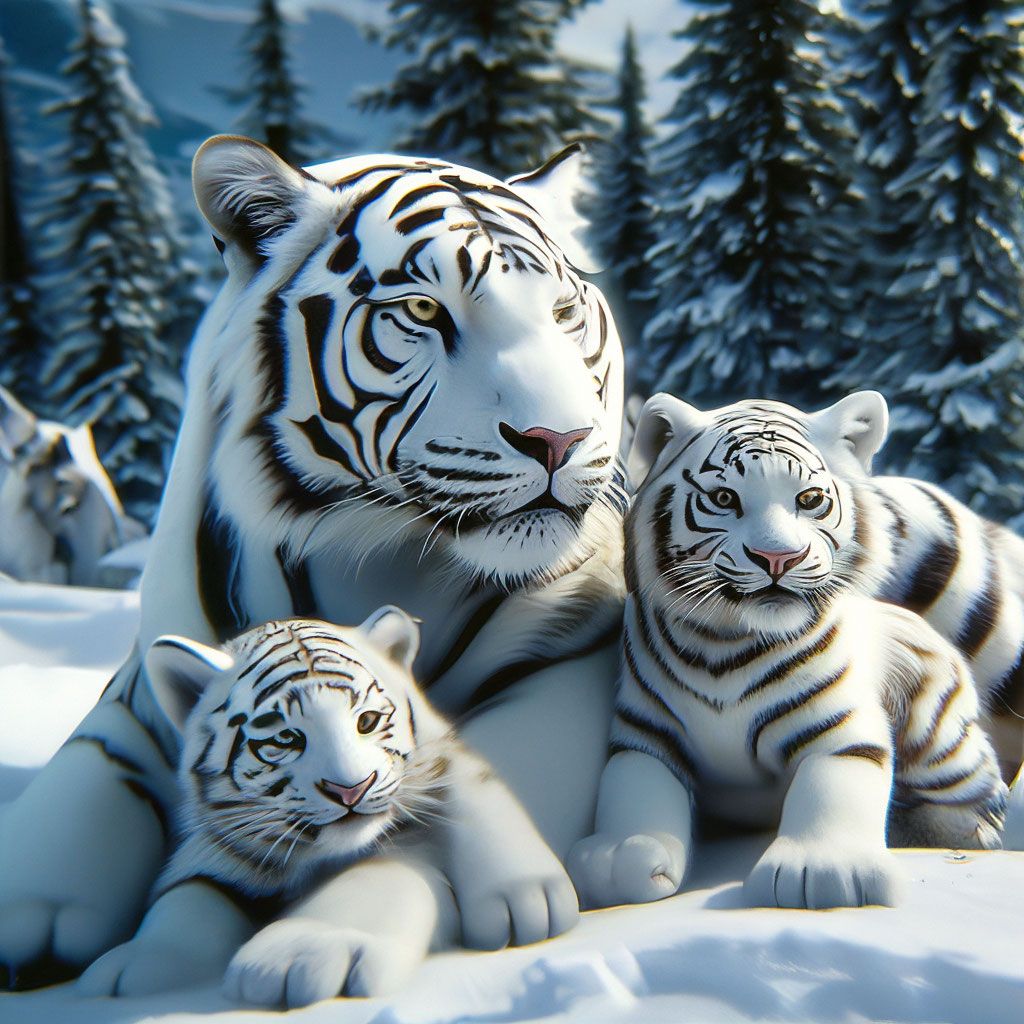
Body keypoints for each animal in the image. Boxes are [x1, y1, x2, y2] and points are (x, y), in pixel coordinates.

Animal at [78, 609, 575, 1001]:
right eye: (285, 739)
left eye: (367, 722)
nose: (351, 789)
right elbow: (191, 895)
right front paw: (135, 967)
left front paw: (300, 960)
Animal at [568, 391, 1013, 912]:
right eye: (724, 499)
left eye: (810, 500)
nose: (778, 558)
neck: (721, 646)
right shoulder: (646, 738)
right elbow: (633, 797)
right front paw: (619, 860)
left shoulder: (840, 731)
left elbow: (832, 789)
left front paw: (822, 872)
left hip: (937, 735)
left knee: (986, 794)